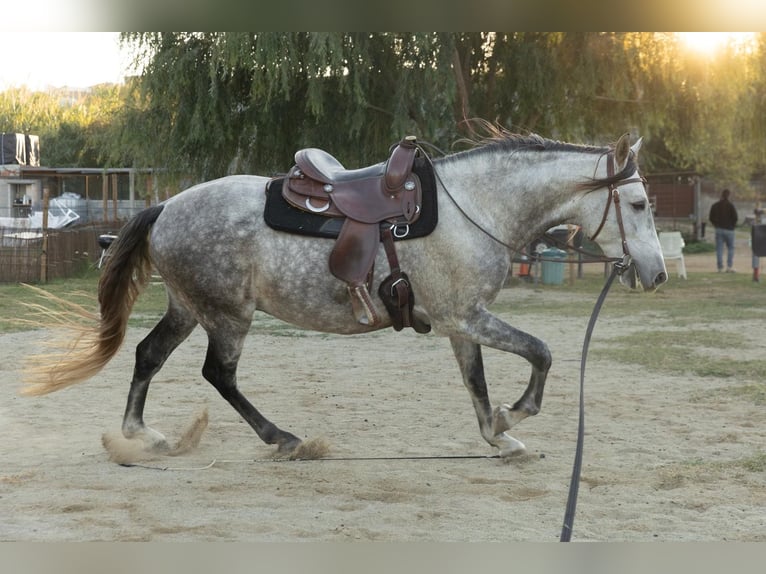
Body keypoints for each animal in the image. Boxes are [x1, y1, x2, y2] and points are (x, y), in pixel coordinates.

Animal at [22, 130, 667, 458]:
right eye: (638, 204)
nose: (658, 274)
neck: (475, 207)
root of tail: (166, 207)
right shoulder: (467, 316)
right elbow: (541, 352)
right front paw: (516, 415)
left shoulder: (462, 322)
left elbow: (477, 382)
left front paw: (499, 435)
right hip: (228, 315)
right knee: (218, 375)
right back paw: (283, 439)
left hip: (189, 308)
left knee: (148, 355)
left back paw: (144, 435)